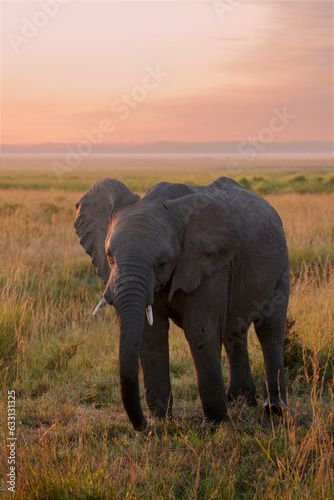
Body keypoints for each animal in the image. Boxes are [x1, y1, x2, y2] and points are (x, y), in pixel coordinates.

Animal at [74, 176, 288, 430]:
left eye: (162, 264)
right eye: (110, 258)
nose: (142, 425)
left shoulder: (210, 265)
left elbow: (200, 331)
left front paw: (214, 426)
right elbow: (151, 334)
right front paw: (160, 420)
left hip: (281, 264)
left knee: (270, 330)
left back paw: (274, 409)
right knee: (234, 332)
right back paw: (240, 402)